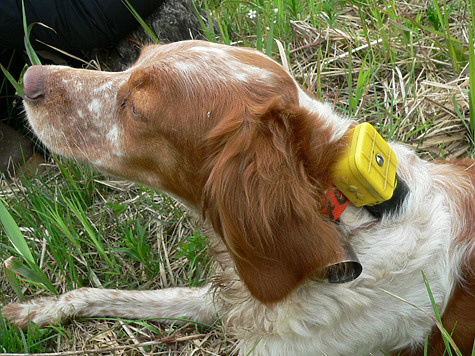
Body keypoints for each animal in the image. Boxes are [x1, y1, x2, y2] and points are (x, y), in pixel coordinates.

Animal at [2, 40, 475, 354]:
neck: (338, 217)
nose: (28, 77)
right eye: (133, 62)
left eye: (135, 108)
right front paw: (36, 311)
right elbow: (115, 295)